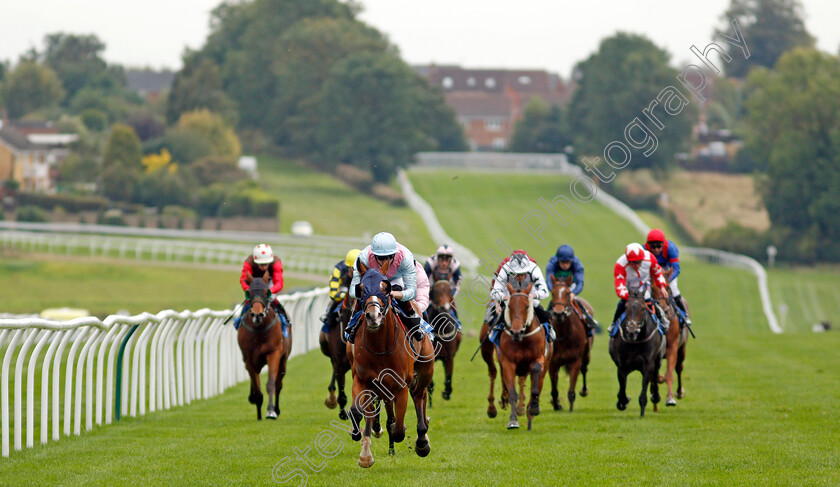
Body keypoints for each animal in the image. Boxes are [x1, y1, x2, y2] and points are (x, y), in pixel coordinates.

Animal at [238, 272, 294, 422]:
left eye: (266, 292)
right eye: (249, 292)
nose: (257, 315)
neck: (259, 331)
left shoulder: (273, 353)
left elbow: (270, 384)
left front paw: (271, 411)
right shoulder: (249, 359)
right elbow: (257, 389)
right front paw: (258, 413)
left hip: (283, 360)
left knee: (279, 384)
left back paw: (277, 409)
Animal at [346, 266, 434, 468]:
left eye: (385, 289)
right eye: (360, 289)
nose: (373, 316)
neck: (380, 347)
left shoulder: (400, 385)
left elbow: (399, 429)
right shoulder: (362, 379)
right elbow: (357, 411)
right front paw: (364, 452)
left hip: (425, 369)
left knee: (419, 396)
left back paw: (422, 439)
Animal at [498, 282, 552, 430]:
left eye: (527, 306)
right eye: (509, 306)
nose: (516, 332)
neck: (522, 340)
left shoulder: (539, 358)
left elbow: (535, 371)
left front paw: (533, 407)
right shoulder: (507, 363)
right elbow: (512, 393)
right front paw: (513, 420)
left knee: (537, 386)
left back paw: (531, 413)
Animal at [548, 274, 592, 412]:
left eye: (567, 293)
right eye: (553, 292)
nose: (559, 313)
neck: (563, 334)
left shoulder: (575, 360)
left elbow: (572, 388)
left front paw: (571, 406)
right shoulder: (553, 362)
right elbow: (554, 388)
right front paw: (556, 404)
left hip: (586, 353)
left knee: (584, 369)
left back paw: (584, 390)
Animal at [612, 290, 664, 420]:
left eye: (643, 309)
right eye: (626, 308)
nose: (632, 331)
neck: (635, 342)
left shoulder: (648, 365)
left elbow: (643, 392)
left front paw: (642, 412)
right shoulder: (622, 366)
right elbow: (622, 390)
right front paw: (623, 401)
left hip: (658, 360)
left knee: (655, 376)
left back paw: (656, 396)